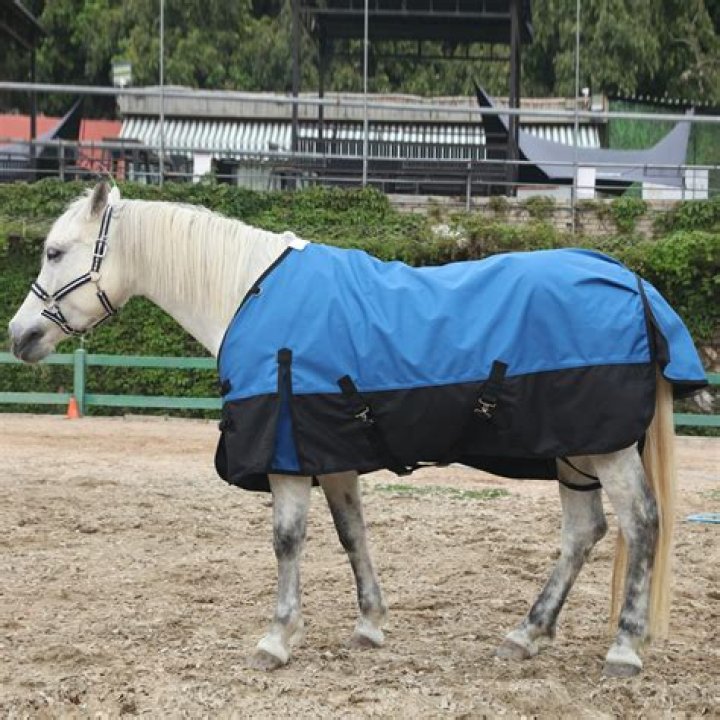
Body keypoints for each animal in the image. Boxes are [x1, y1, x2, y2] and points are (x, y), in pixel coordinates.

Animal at [8, 182, 706, 677]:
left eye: (55, 251)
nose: (19, 336)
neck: (247, 292)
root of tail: (635, 283)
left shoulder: (287, 455)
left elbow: (287, 541)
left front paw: (277, 637)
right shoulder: (330, 452)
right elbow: (352, 534)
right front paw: (370, 624)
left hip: (604, 449)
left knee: (642, 524)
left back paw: (623, 648)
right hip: (573, 453)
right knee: (584, 533)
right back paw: (526, 634)